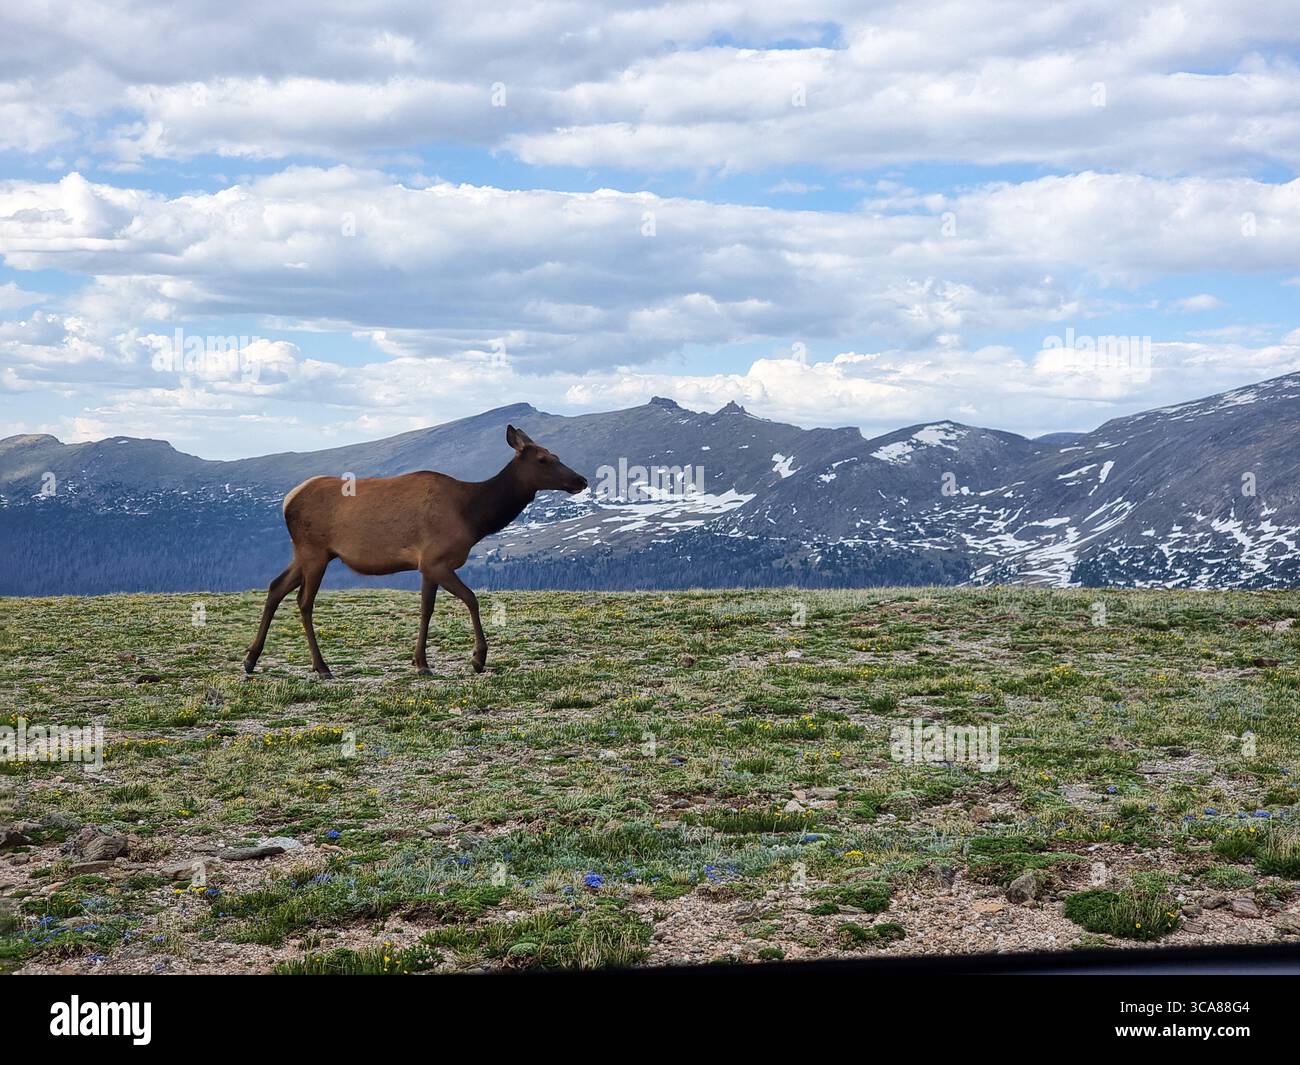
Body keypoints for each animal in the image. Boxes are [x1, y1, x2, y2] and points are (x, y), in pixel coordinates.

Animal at [243, 425, 587, 679]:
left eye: (555, 454)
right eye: (542, 459)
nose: (581, 479)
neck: (473, 517)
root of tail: (287, 501)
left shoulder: (426, 566)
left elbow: (426, 609)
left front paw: (420, 662)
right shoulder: (437, 560)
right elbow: (472, 599)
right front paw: (477, 659)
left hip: (307, 553)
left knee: (275, 588)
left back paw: (250, 659)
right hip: (313, 551)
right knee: (303, 601)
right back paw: (321, 667)